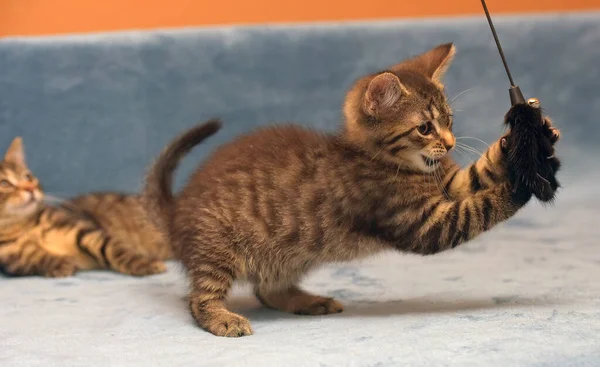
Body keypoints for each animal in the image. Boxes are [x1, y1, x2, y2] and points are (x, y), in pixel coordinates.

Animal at [0, 137, 171, 278]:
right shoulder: (15, 259)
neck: (25, 227)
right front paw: (61, 264)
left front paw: (145, 264)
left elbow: (116, 250)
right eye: (4, 183)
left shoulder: (86, 231)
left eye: (27, 177)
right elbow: (38, 259)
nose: (30, 188)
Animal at [143, 42, 560, 336]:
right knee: (199, 297)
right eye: (425, 128)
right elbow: (479, 208)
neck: (391, 163)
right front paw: (521, 185)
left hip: (285, 256)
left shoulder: (448, 181)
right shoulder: (421, 223)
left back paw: (305, 300)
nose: (452, 142)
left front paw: (524, 140)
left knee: (266, 290)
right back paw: (222, 319)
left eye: (450, 121)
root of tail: (177, 208)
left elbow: (477, 175)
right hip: (217, 248)